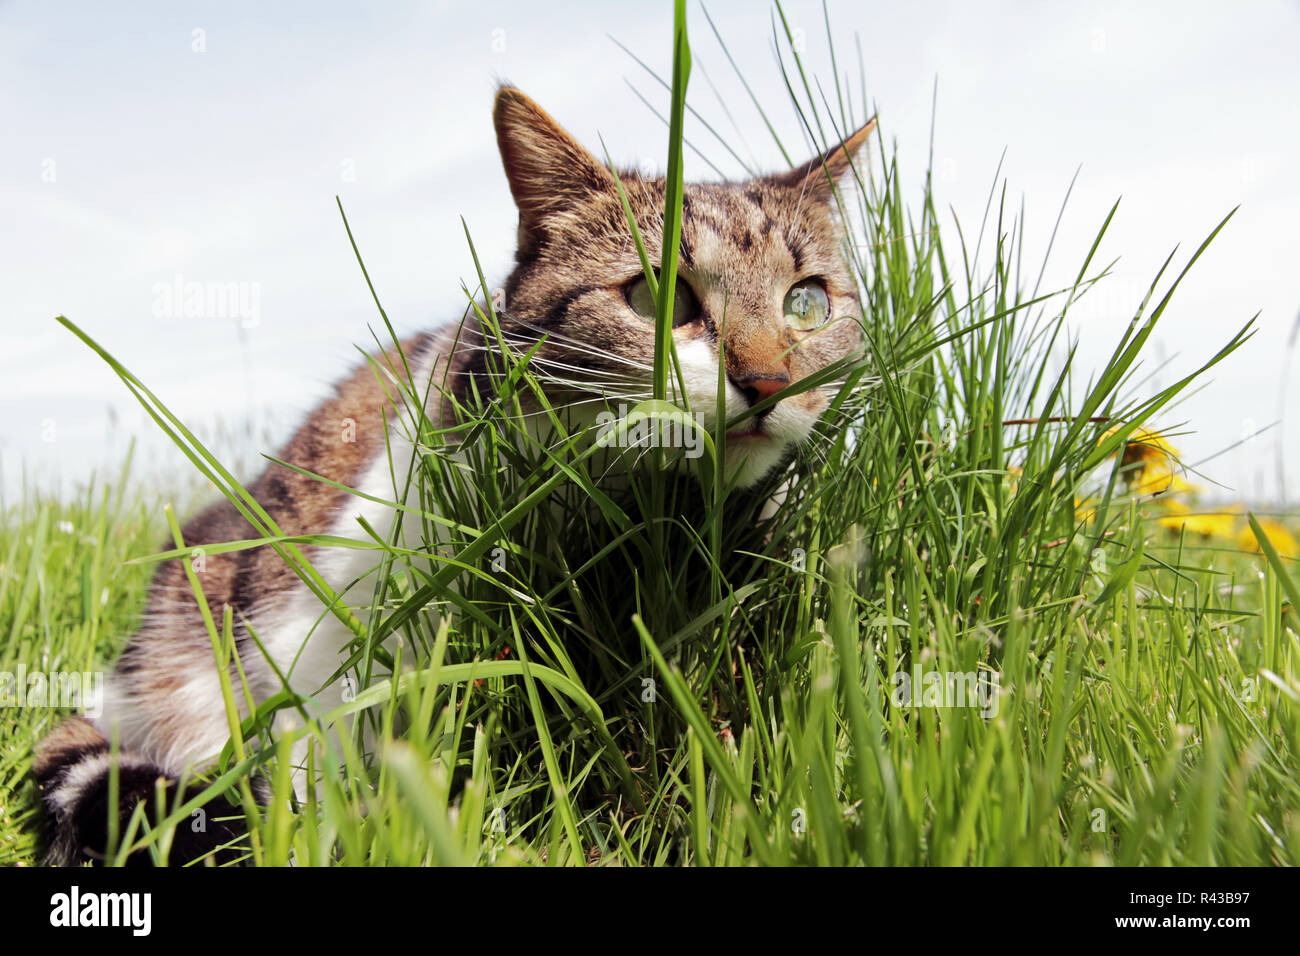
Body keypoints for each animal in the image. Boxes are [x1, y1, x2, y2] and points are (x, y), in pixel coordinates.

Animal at [32, 87, 873, 868]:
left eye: (807, 302)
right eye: (652, 296)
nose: (769, 382)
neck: (630, 509)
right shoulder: (324, 632)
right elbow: (316, 763)